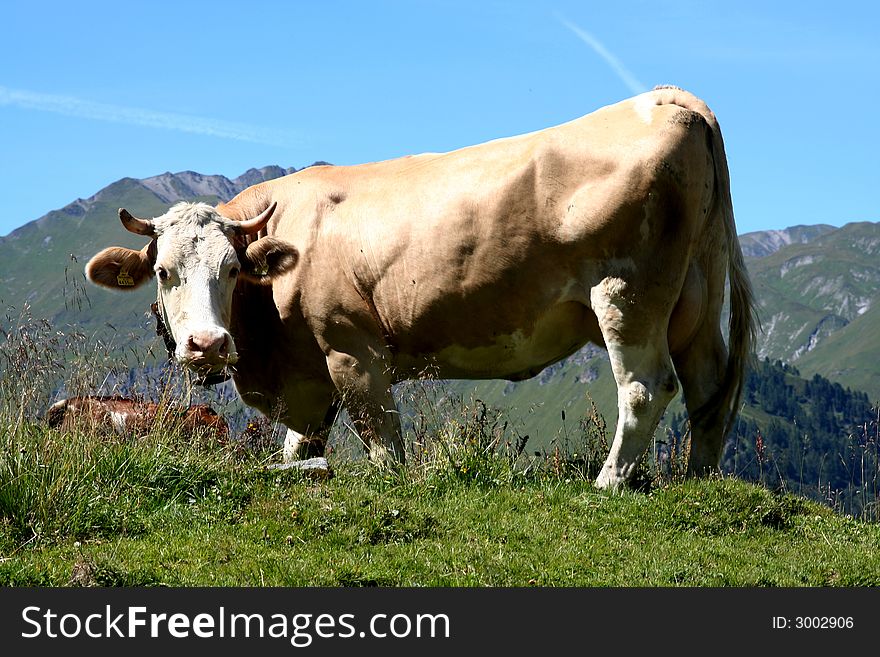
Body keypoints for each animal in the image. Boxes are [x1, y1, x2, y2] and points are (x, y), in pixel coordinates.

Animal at [84, 87, 756, 486]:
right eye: (164, 271)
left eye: (231, 269)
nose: (207, 344)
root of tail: (667, 99)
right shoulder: (307, 377)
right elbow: (299, 450)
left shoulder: (352, 352)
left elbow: (385, 449)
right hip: (695, 299)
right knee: (709, 386)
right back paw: (699, 480)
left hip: (627, 293)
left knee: (646, 385)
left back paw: (610, 483)